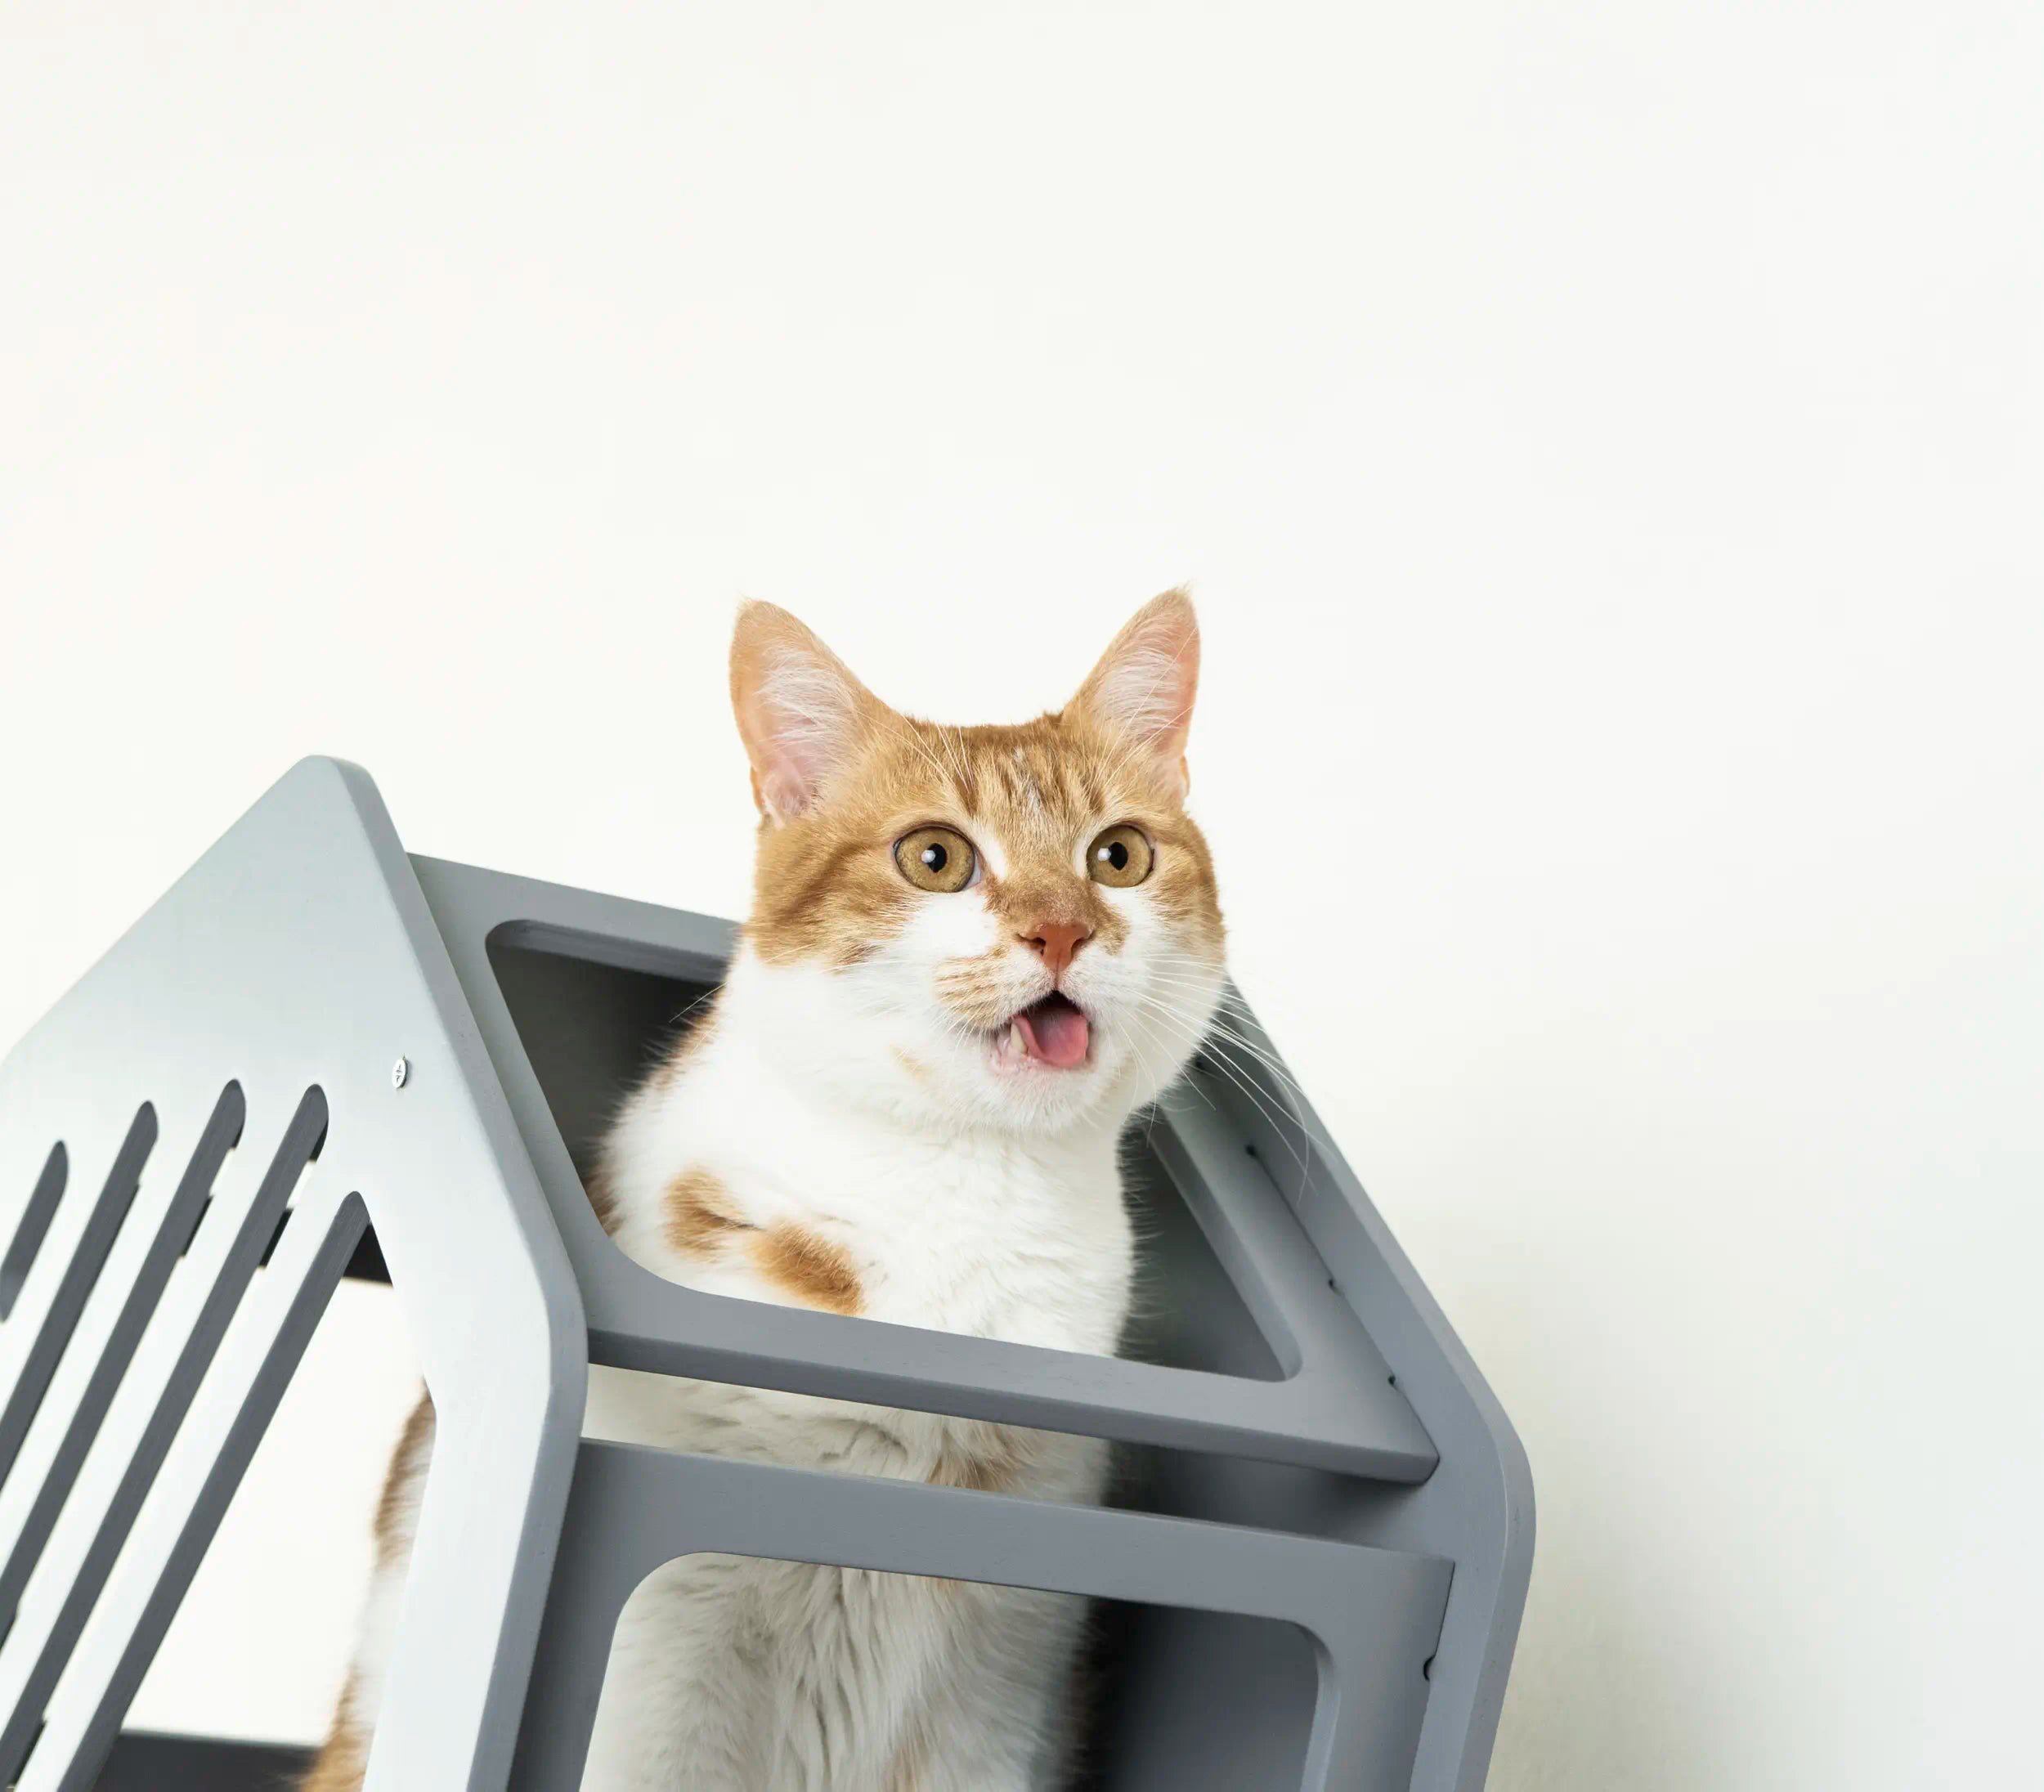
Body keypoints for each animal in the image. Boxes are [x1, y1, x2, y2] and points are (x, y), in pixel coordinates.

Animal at [305, 589, 1227, 1792]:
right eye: (936, 858)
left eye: (1118, 856)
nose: (1063, 926)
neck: (962, 1197)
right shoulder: (657, 1664)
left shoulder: (998, 1682)